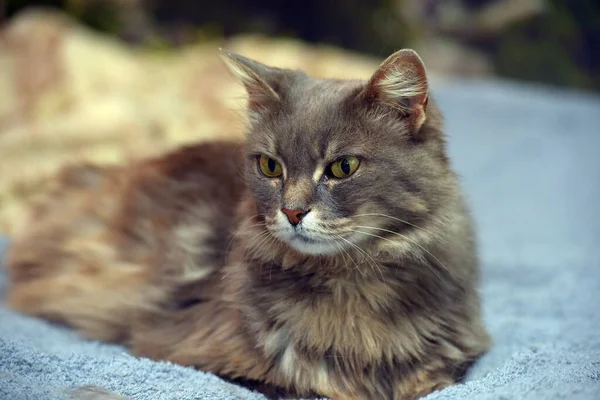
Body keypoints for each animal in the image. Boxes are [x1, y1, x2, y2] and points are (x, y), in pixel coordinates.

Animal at [4, 48, 490, 398]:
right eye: (270, 166)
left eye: (343, 167)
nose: (292, 212)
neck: (351, 283)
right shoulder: (198, 353)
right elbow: (305, 387)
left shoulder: (453, 357)